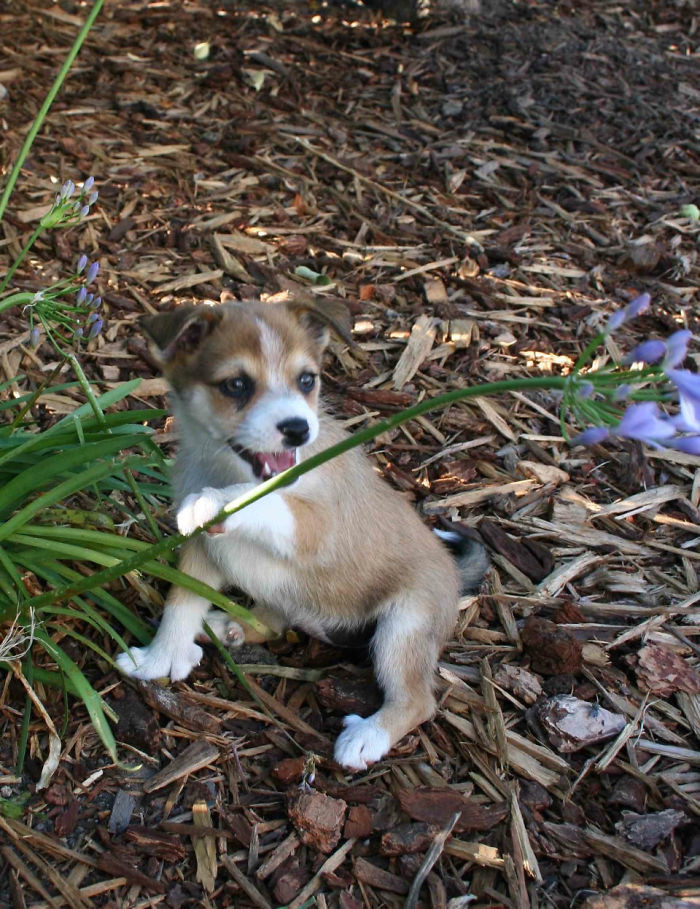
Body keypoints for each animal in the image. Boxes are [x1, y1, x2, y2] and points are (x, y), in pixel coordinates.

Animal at [116, 300, 486, 768]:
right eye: (237, 385)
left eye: (306, 380)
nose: (297, 429)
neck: (226, 467)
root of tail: (454, 576)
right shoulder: (202, 550)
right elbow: (180, 605)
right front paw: (158, 659)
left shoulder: (316, 526)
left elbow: (265, 499)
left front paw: (214, 500)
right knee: (276, 621)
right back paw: (227, 624)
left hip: (404, 626)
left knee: (418, 700)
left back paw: (367, 736)